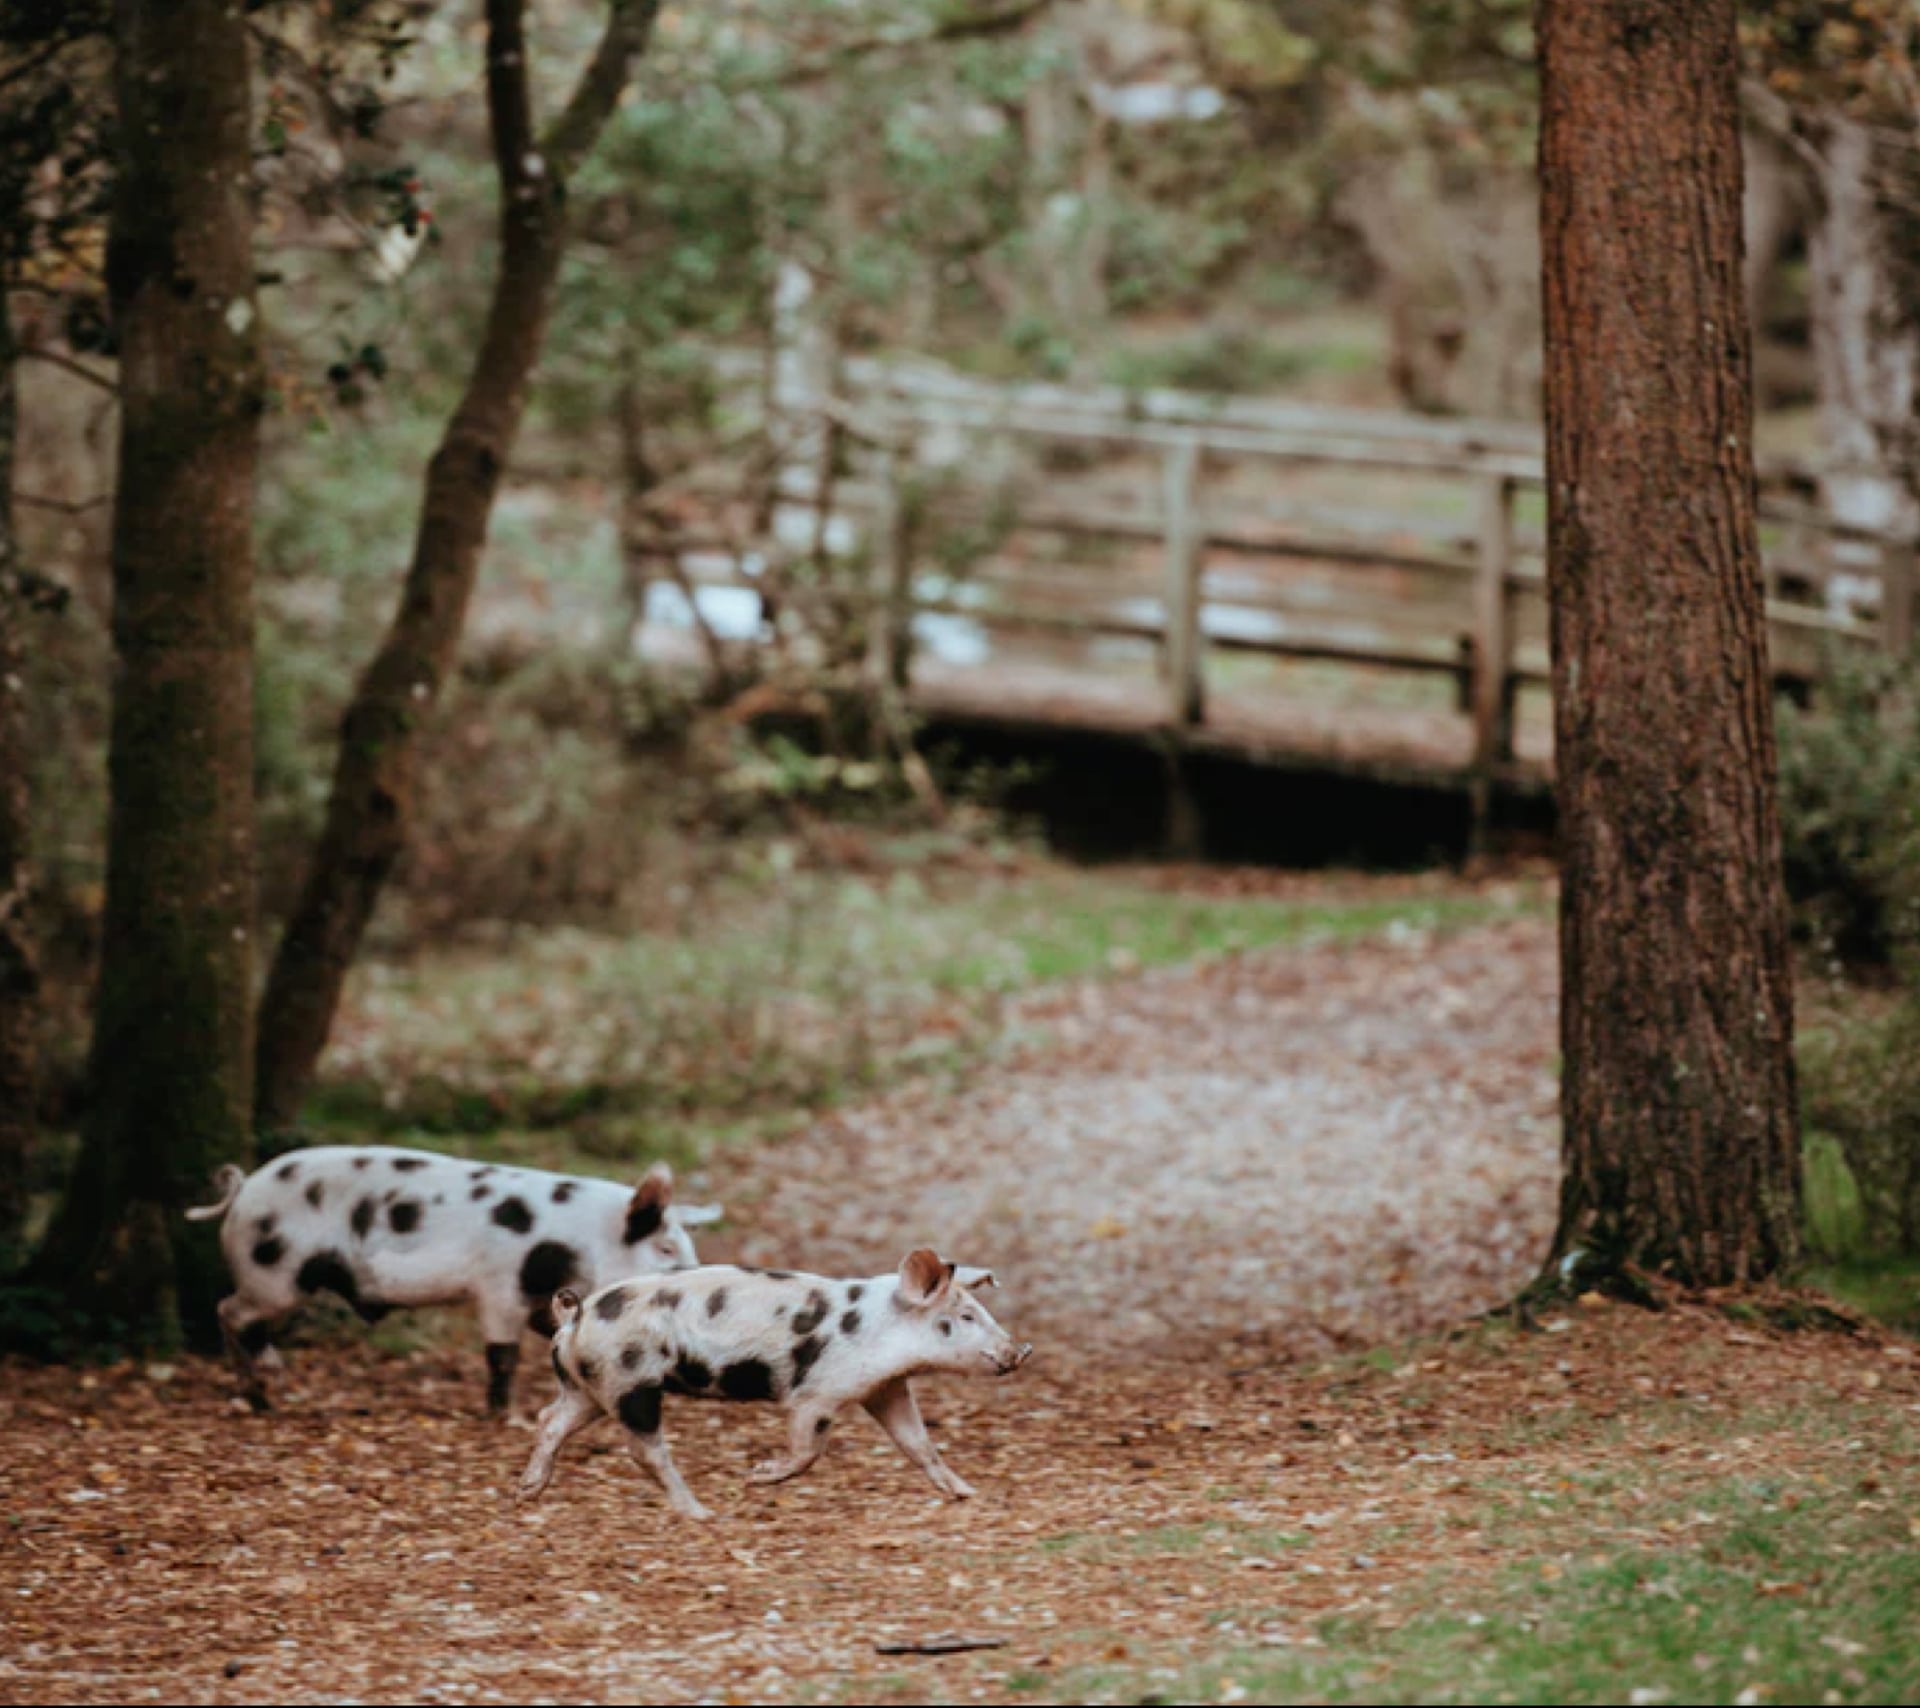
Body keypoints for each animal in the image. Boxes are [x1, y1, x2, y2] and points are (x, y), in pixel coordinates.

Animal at [185, 1143, 721, 1412]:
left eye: (689, 1244)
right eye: (666, 1248)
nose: (696, 1278)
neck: (578, 1240)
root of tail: (242, 1190)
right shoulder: (499, 1285)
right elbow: (502, 1354)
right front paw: (505, 1416)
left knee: (229, 1314)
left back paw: (254, 1398)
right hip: (275, 1272)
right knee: (231, 1311)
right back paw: (272, 1379)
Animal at [518, 1235, 1036, 1519]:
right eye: (965, 1316)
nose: (1020, 1350)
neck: (879, 1328)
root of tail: (575, 1316)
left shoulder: (883, 1388)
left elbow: (918, 1443)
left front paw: (967, 1492)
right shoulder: (816, 1395)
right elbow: (810, 1448)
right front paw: (757, 1476)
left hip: (590, 1387)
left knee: (549, 1418)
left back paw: (527, 1491)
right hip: (630, 1382)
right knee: (643, 1449)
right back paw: (704, 1514)